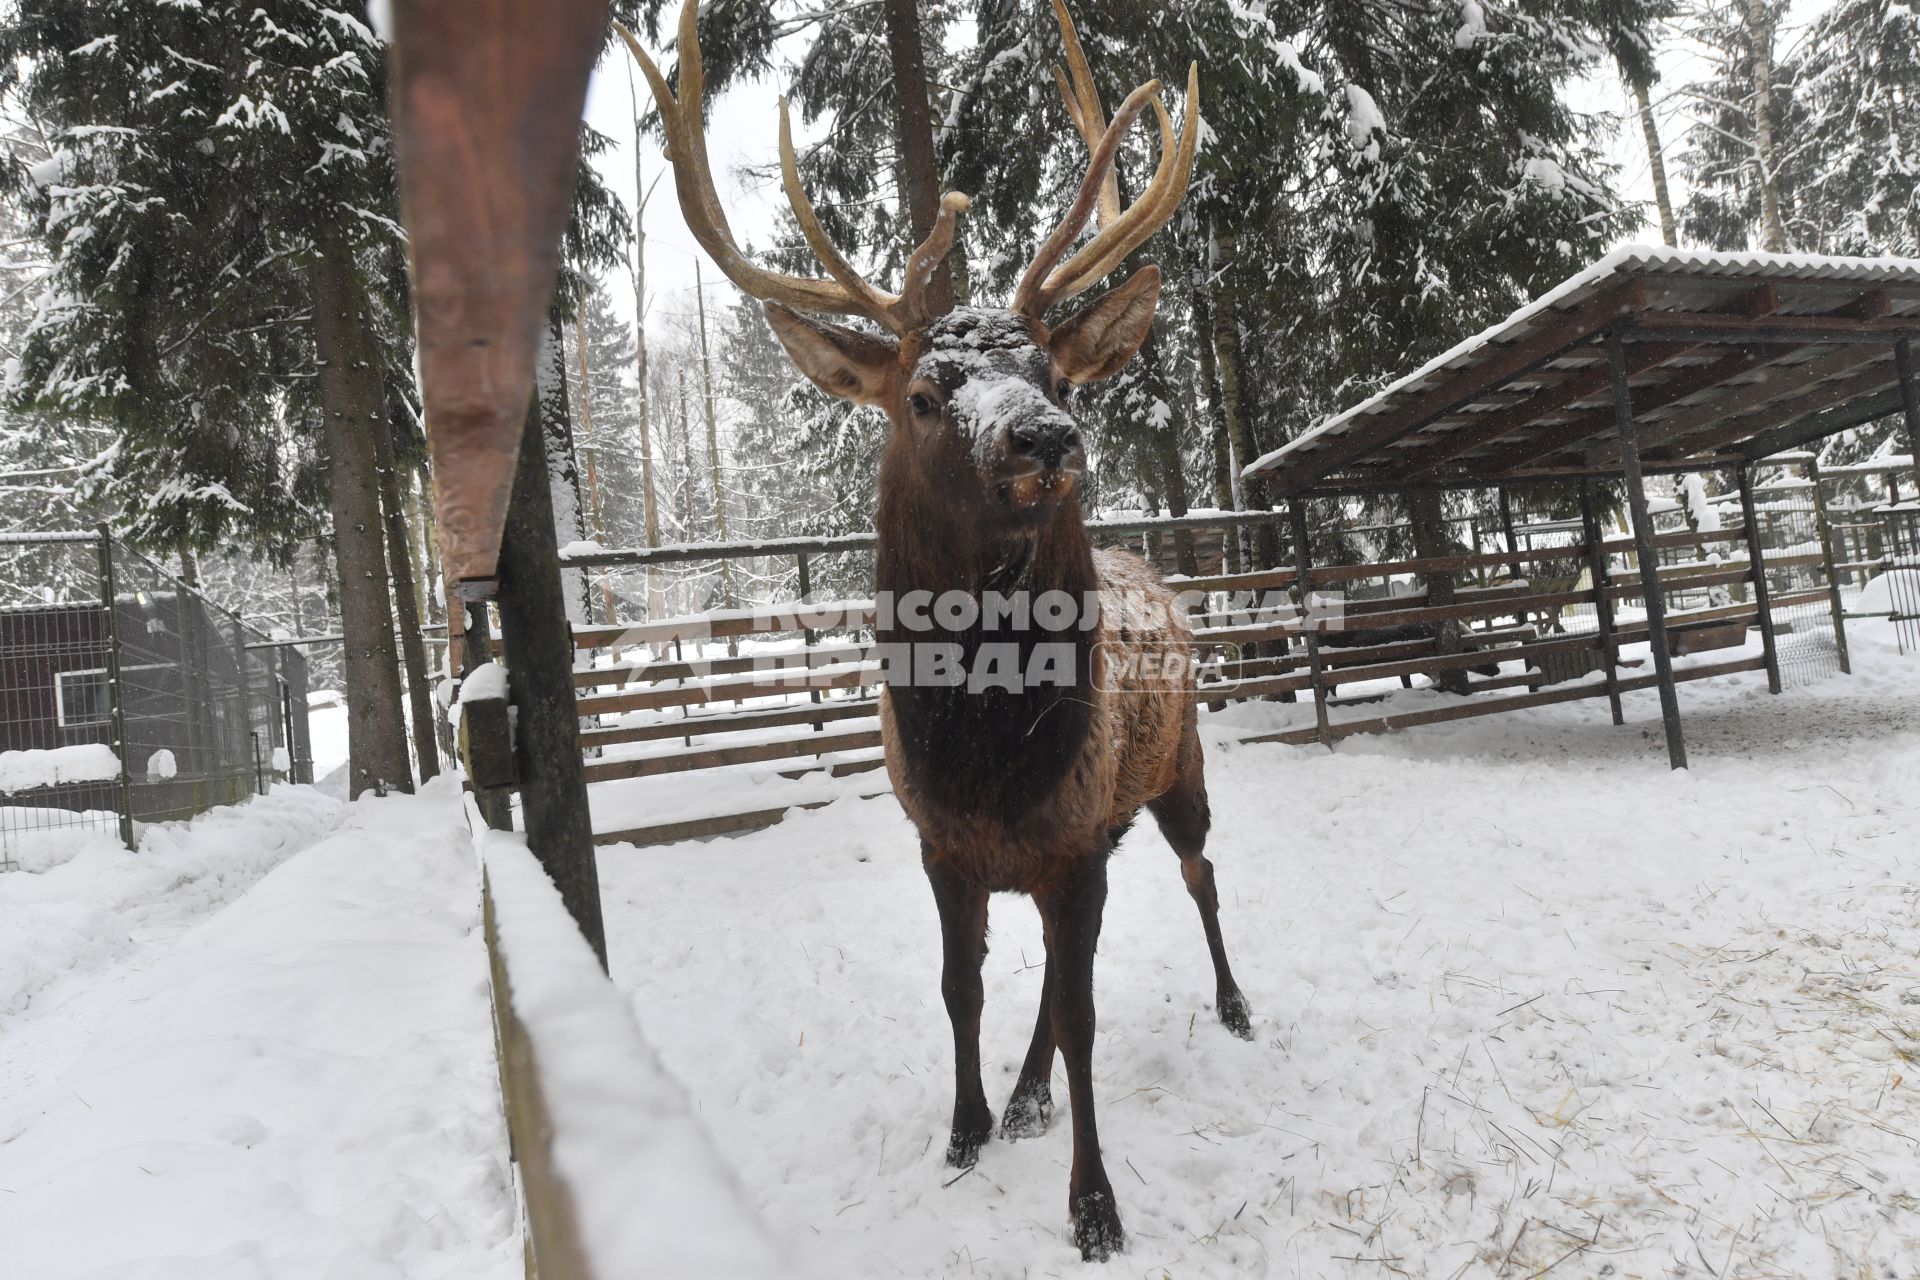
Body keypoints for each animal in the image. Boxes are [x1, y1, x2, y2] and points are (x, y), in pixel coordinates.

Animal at [622, 2, 1251, 1258]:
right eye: (922, 391)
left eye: (1056, 370)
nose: (1045, 435)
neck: (987, 758)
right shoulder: (945, 843)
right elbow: (968, 989)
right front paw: (965, 1129)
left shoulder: (1071, 840)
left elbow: (1084, 1010)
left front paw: (1095, 1206)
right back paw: (1024, 1094)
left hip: (1179, 764)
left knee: (1204, 873)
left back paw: (1234, 1001)